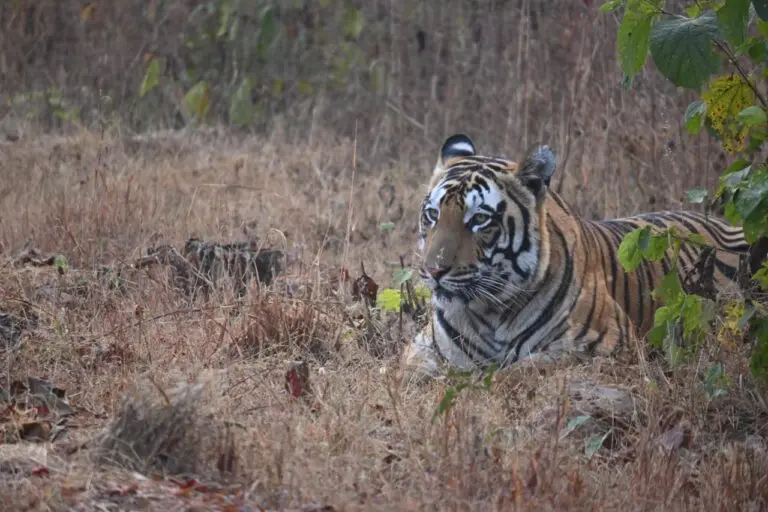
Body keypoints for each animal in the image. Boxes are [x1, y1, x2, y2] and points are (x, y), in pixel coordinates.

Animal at [402, 134, 752, 378]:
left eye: (478, 219)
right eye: (432, 215)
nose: (433, 271)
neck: (490, 313)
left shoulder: (603, 345)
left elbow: (518, 371)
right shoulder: (423, 347)